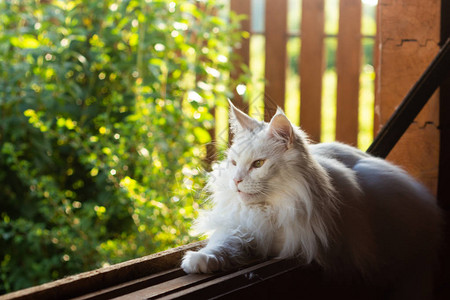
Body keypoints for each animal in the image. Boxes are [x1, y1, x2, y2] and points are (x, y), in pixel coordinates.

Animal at [181, 101, 442, 298]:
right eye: (234, 163)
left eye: (258, 164)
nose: (236, 180)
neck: (272, 206)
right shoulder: (240, 224)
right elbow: (224, 243)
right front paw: (201, 260)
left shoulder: (289, 236)